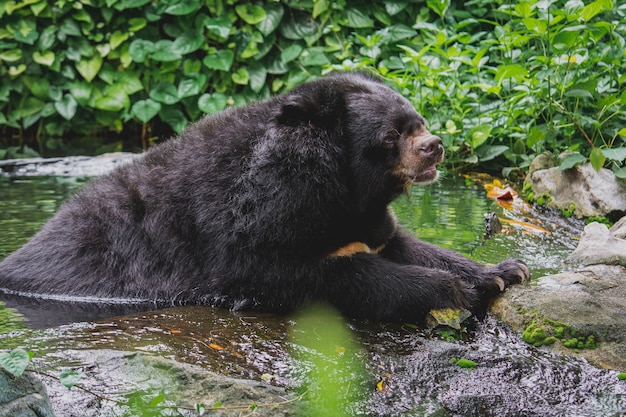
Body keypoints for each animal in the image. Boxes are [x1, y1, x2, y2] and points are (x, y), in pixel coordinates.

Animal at [0, 72, 528, 322]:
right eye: (391, 135)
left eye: (418, 122)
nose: (434, 146)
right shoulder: (248, 234)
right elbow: (314, 275)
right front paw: (449, 289)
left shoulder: (368, 217)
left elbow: (402, 242)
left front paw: (501, 272)